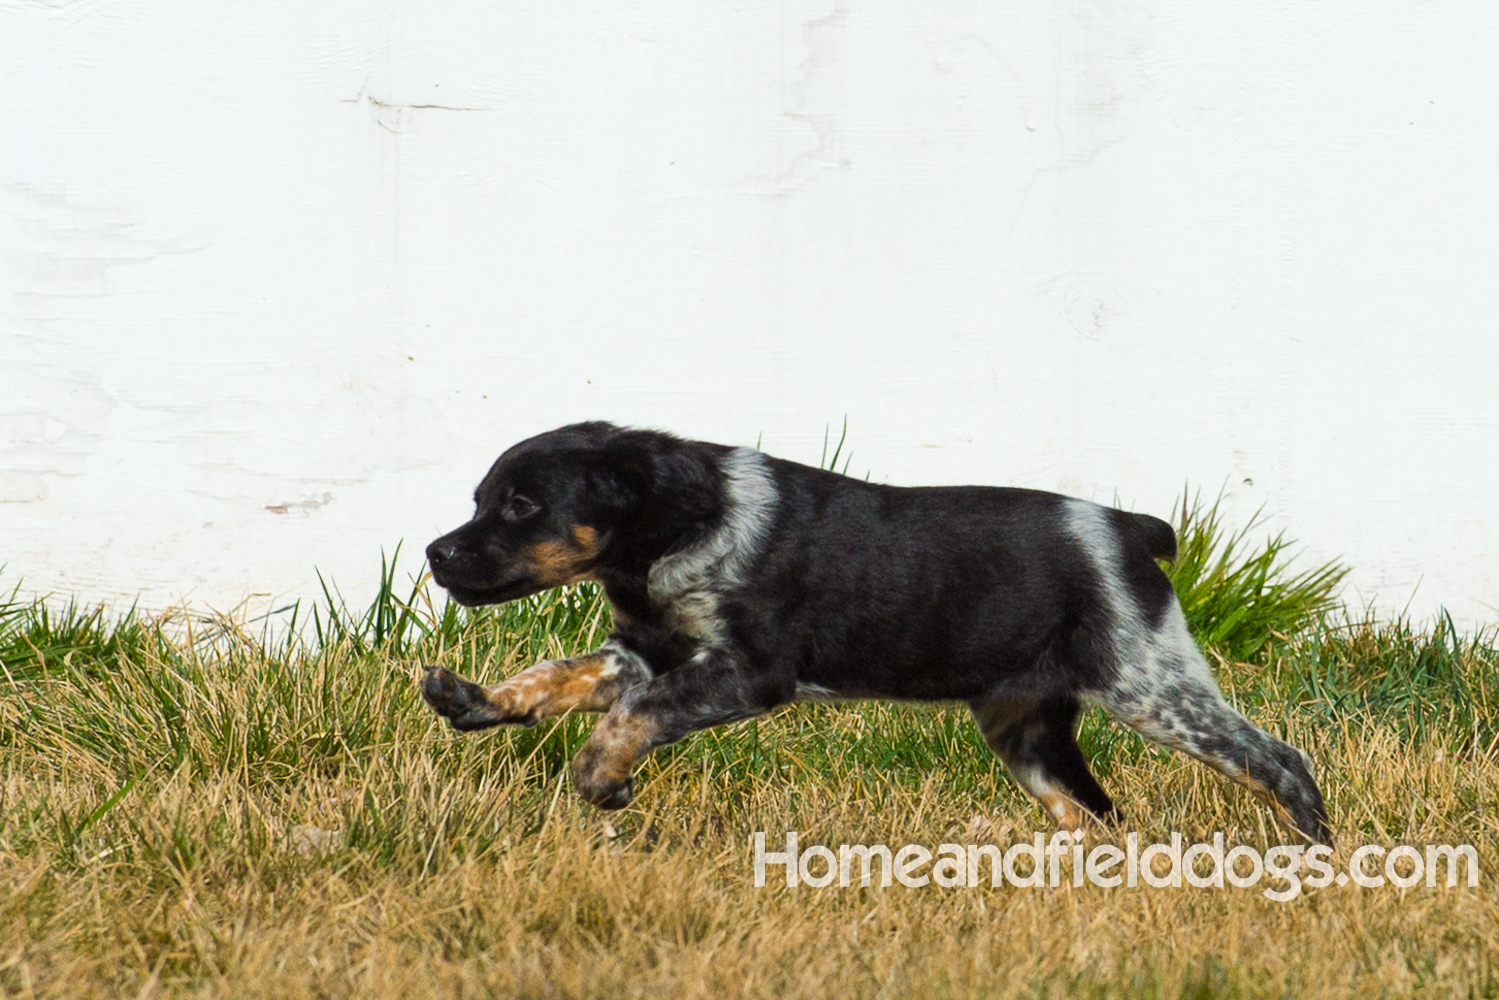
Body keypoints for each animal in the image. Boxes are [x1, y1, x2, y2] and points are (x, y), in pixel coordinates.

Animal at [422, 419, 1337, 839]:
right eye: (480, 499)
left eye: (521, 506)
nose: (434, 553)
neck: (678, 519)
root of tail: (1131, 528)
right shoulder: (648, 649)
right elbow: (560, 677)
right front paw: (476, 701)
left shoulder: (746, 671)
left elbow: (629, 716)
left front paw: (602, 778)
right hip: (1028, 728)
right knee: (1096, 812)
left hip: (1149, 685)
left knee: (1277, 760)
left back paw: (1311, 854)